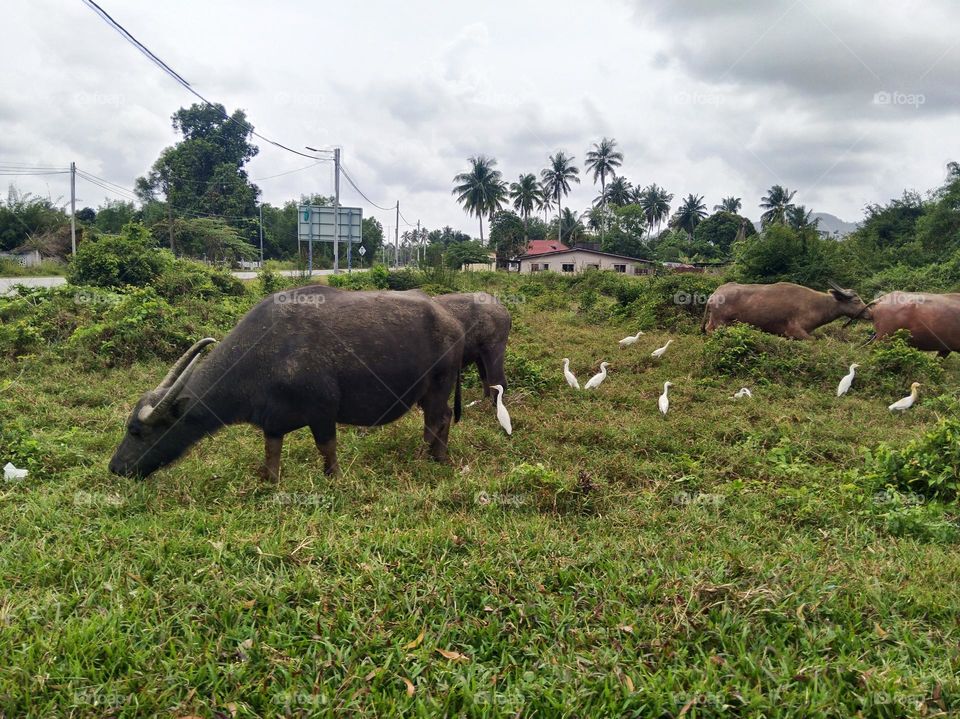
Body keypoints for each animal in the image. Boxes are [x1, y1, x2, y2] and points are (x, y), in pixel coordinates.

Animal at [109, 286, 464, 480]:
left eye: (136, 431)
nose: (115, 467)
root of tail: (453, 322)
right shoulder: (272, 422)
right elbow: (271, 455)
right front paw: (270, 480)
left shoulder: (323, 412)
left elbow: (327, 449)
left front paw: (333, 477)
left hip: (439, 386)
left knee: (440, 418)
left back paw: (436, 457)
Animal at [702, 281, 867, 339]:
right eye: (856, 300)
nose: (868, 312)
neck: (818, 305)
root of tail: (714, 294)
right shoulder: (795, 330)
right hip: (720, 323)